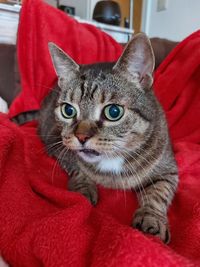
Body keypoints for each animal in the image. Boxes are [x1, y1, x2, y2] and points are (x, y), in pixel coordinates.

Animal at [38, 32, 178, 244]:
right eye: (68, 110)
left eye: (113, 112)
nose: (81, 136)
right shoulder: (56, 143)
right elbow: (77, 168)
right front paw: (84, 188)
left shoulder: (169, 169)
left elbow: (159, 192)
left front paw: (151, 219)